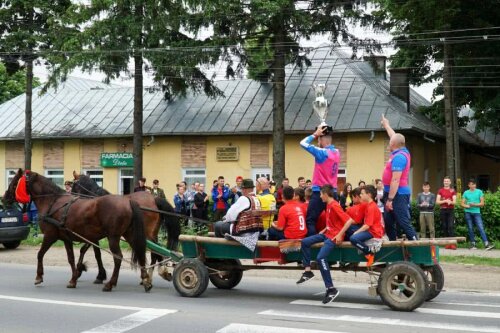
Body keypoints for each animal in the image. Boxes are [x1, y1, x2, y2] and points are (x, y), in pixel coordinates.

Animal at [3, 169, 150, 290]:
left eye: (14, 183)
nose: (4, 198)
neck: (52, 201)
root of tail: (128, 201)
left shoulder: (50, 236)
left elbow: (40, 254)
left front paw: (39, 276)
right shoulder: (67, 238)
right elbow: (72, 258)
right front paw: (74, 278)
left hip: (113, 237)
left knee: (118, 257)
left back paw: (111, 283)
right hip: (129, 234)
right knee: (140, 252)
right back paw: (146, 279)